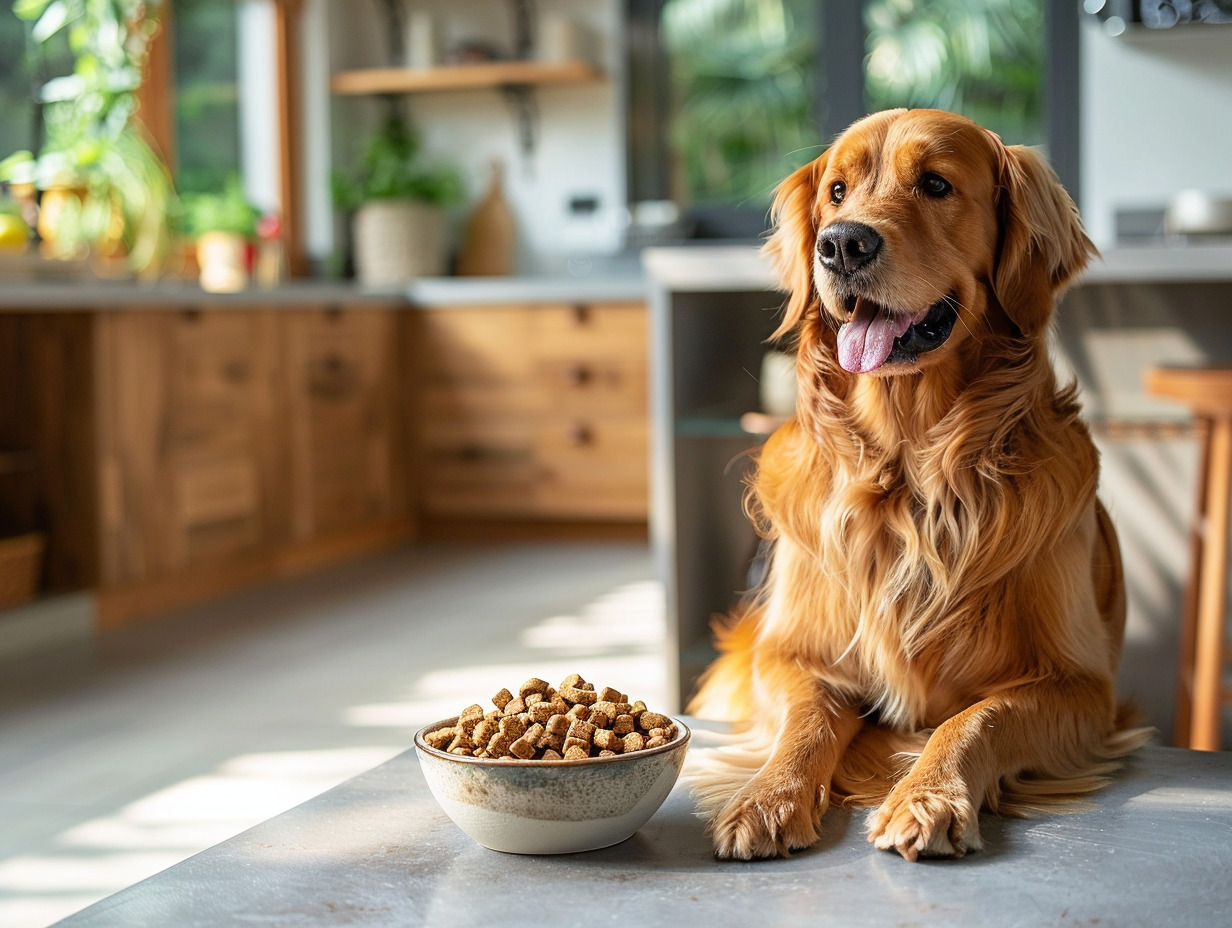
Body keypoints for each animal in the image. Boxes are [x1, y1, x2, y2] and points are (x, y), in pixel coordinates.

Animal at [689, 108, 1148, 862]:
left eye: (936, 184)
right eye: (837, 192)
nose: (841, 245)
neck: (907, 471)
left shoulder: (1081, 688)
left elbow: (977, 717)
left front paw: (928, 795)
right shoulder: (789, 655)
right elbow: (807, 719)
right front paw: (768, 796)